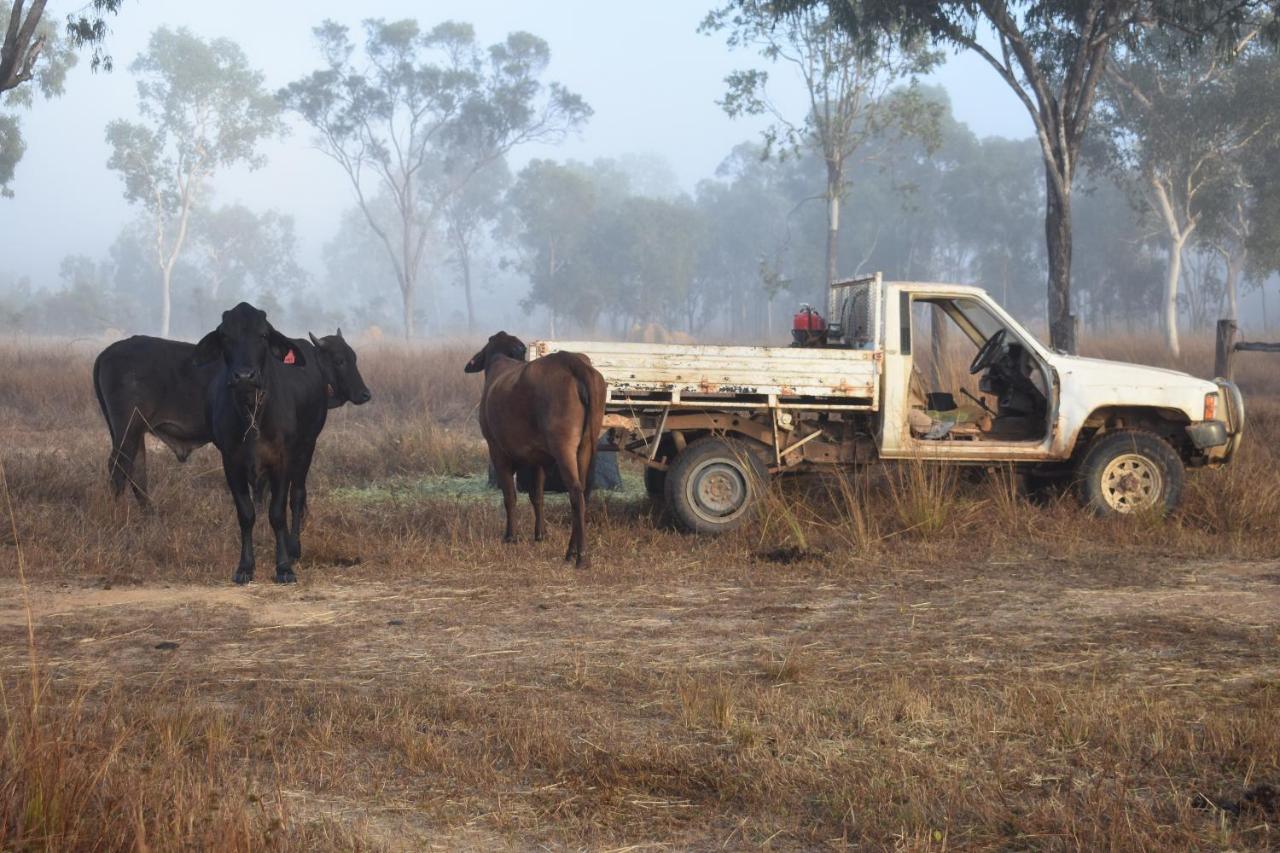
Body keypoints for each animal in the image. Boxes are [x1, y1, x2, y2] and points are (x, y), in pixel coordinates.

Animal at [94, 327, 371, 504]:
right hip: (128, 429)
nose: (365, 393)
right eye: (339, 360)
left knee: (137, 472)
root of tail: (107, 352)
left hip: (133, 431)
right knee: (118, 468)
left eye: (354, 357)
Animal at [468, 330, 606, 563]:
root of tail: (572, 361)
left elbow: (510, 496)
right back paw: (571, 550)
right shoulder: (538, 458)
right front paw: (539, 534)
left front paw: (511, 536)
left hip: (563, 447)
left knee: (575, 492)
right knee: (584, 493)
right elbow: (537, 497)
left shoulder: (497, 451)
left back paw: (580, 556)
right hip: (587, 444)